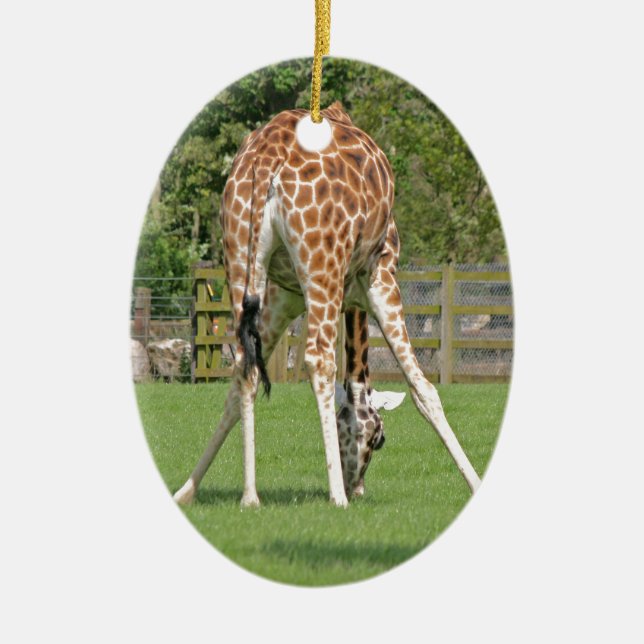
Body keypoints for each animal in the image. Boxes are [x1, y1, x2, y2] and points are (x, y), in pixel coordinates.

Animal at [173, 102, 481, 508]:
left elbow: (237, 388)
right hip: (324, 266)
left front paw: (188, 489)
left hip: (241, 258)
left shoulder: (285, 295)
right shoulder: (380, 274)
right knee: (319, 359)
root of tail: (266, 157)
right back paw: (336, 497)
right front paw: (475, 483)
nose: (357, 486)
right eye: (379, 439)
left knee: (244, 363)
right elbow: (423, 389)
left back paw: (251, 497)